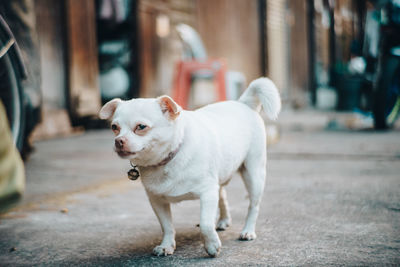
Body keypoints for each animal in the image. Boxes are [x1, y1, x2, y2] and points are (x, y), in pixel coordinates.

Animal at [99, 77, 282, 258]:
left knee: (253, 205)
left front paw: (212, 246)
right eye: (114, 128)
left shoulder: (207, 193)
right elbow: (167, 226)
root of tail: (244, 103)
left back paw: (248, 231)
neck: (169, 158)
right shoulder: (157, 201)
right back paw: (223, 221)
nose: (119, 141)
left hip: (254, 174)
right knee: (222, 195)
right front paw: (166, 245)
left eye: (141, 127)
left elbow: (205, 223)